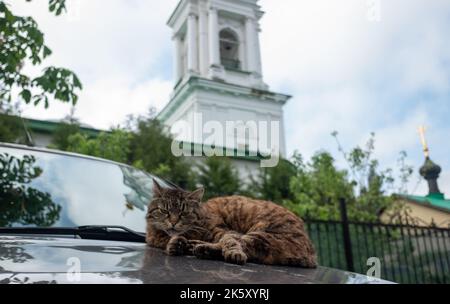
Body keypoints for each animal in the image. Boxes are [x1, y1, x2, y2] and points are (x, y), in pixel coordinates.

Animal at [145, 179, 316, 268]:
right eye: (164, 211)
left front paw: (235, 253)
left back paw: (200, 248)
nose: (173, 222)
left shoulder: (226, 232)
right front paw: (176, 243)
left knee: (242, 247)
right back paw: (191, 245)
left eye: (184, 213)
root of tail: (312, 255)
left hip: (261, 234)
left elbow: (230, 241)